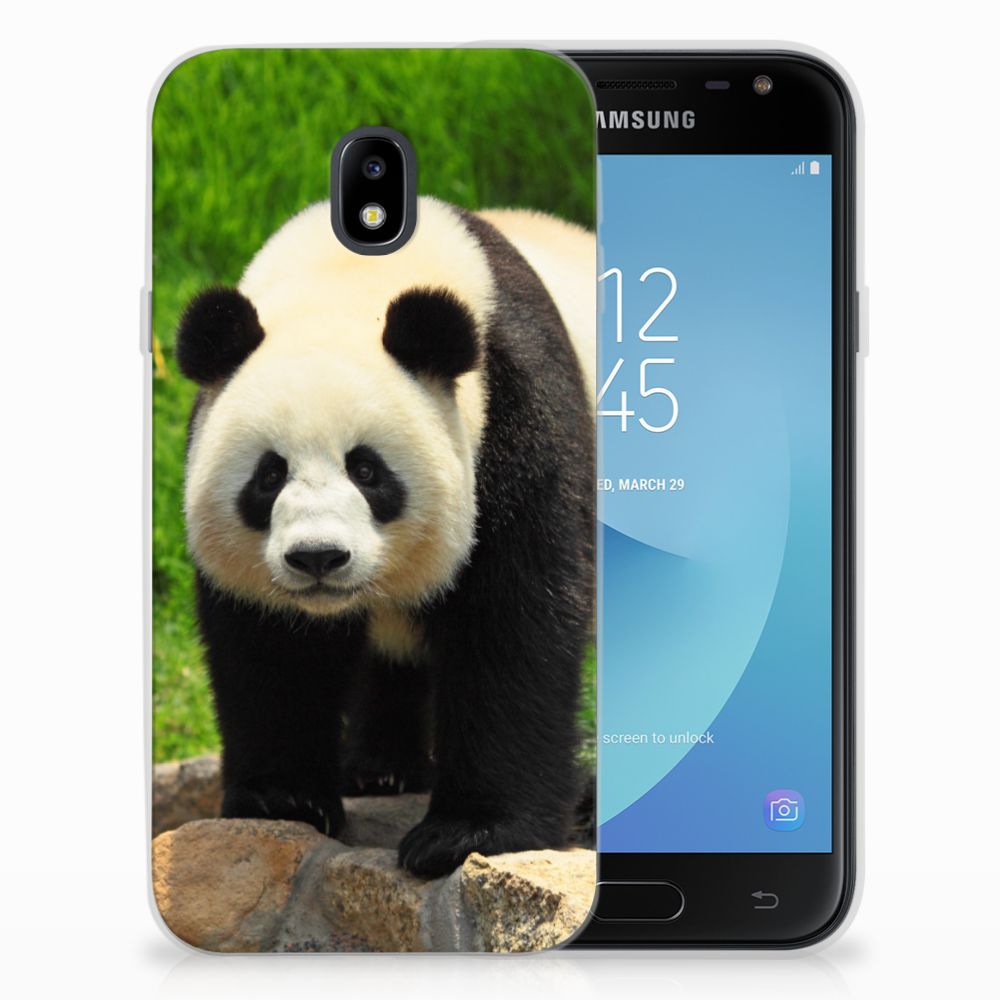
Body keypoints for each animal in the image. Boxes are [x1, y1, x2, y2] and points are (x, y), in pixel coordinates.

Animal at [177, 196, 595, 878]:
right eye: (269, 475)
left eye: (367, 470)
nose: (318, 557)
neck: (349, 280)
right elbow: (271, 646)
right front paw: (282, 799)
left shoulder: (517, 417)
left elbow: (514, 622)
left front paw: (468, 833)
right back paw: (380, 768)